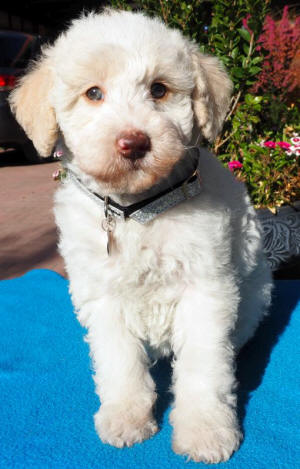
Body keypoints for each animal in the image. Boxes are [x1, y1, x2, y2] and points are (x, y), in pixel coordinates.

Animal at [9, 9, 274, 462]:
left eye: (160, 89)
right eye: (93, 93)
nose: (133, 143)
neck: (137, 212)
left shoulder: (207, 289)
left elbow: (205, 366)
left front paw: (205, 431)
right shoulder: (102, 294)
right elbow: (119, 362)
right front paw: (125, 417)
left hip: (256, 293)